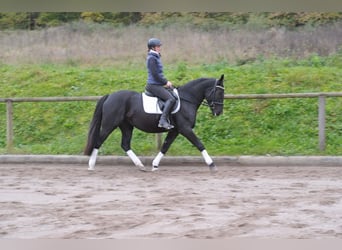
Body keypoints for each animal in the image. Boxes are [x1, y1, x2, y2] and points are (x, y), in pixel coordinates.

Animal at [84, 74, 224, 172]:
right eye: (219, 92)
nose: (219, 112)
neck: (187, 99)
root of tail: (110, 96)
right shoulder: (185, 129)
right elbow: (199, 144)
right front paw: (212, 165)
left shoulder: (175, 130)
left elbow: (165, 147)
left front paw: (155, 165)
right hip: (110, 124)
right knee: (98, 141)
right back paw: (91, 165)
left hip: (126, 126)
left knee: (125, 144)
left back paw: (140, 165)